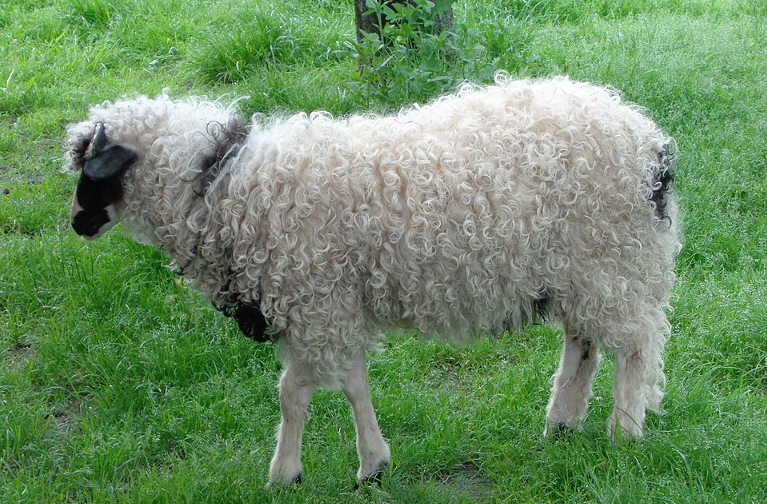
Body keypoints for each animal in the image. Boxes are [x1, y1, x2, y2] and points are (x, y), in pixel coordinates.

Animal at [65, 75, 680, 487]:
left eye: (94, 172)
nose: (76, 223)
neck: (221, 187)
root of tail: (652, 147)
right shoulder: (323, 306)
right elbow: (346, 383)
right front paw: (366, 463)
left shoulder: (315, 304)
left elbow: (296, 393)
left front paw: (295, 472)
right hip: (582, 270)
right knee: (585, 344)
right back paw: (562, 423)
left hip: (610, 259)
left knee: (636, 346)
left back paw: (624, 431)